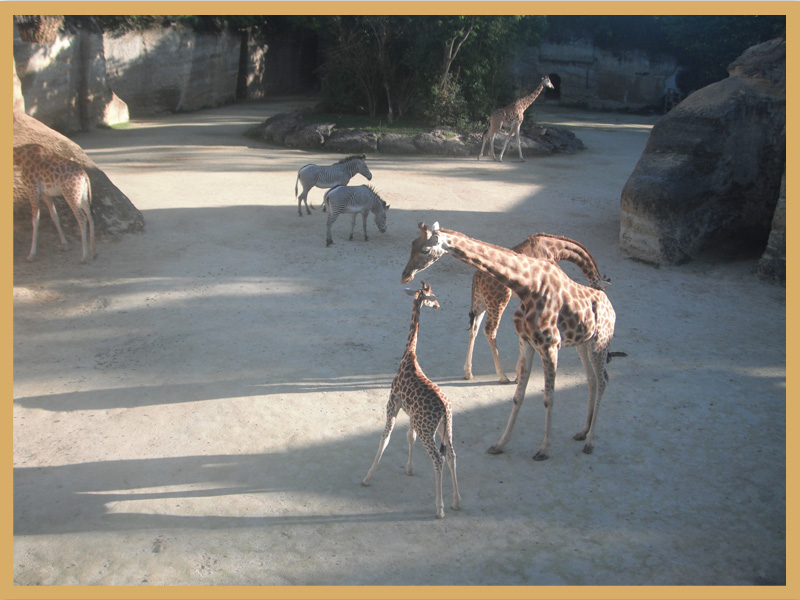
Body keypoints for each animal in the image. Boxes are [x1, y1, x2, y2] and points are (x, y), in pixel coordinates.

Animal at [360, 282, 460, 520]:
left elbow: (384, 439)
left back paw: (439, 508)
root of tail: (445, 409)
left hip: (427, 429)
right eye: (432, 296)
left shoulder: (392, 404)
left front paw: (367, 477)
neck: (409, 354)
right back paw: (456, 502)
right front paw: (409, 469)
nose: (438, 305)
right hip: (445, 426)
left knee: (438, 458)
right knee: (452, 454)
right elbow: (408, 437)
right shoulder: (412, 415)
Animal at [466, 232, 608, 382]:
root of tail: (477, 277)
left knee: (474, 328)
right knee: (490, 330)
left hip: (481, 301)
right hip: (498, 300)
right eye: (599, 289)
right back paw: (503, 376)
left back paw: (468, 373)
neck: (555, 248)